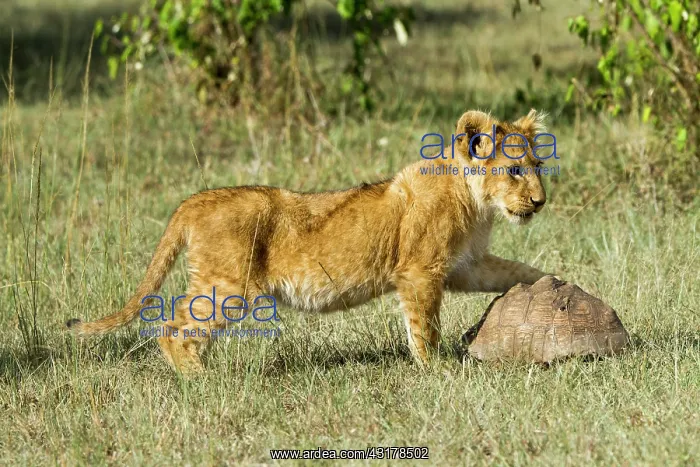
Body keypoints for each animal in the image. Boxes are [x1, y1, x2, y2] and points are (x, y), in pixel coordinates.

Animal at [67, 109, 551, 373]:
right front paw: (436, 371)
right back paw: (201, 381)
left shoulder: (467, 265)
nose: (540, 201)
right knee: (173, 329)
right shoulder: (419, 273)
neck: (477, 205)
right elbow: (424, 328)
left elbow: (516, 271)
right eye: (514, 170)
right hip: (228, 287)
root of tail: (197, 199)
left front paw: (556, 285)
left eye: (538, 166)